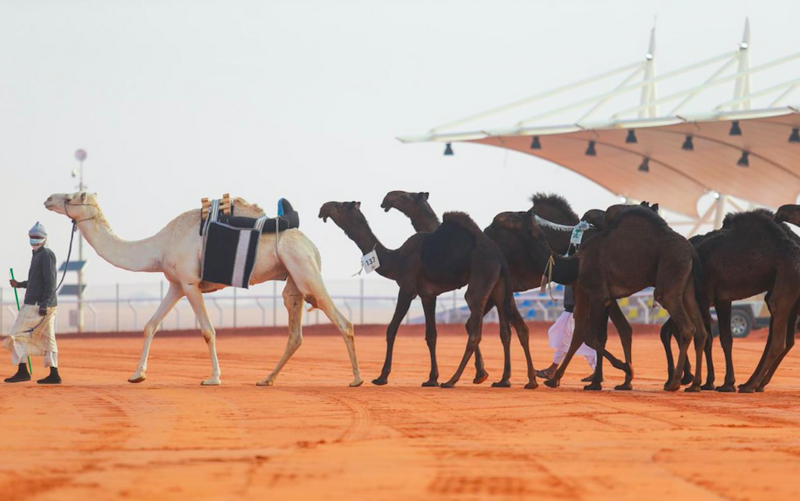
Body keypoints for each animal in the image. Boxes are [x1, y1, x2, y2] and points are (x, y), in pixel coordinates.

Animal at [45, 191, 364, 386]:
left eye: (71, 197)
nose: (48, 198)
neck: (160, 245)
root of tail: (313, 247)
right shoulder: (175, 284)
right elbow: (150, 325)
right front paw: (137, 374)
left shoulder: (190, 282)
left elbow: (208, 331)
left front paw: (213, 377)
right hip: (293, 280)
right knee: (295, 333)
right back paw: (266, 379)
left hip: (304, 269)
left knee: (342, 320)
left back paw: (357, 379)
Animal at [320, 201, 536, 388]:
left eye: (339, 205)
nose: (323, 208)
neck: (395, 259)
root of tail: (499, 256)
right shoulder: (428, 295)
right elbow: (431, 335)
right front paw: (432, 378)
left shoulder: (407, 289)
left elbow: (391, 329)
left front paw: (382, 377)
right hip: (499, 285)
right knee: (507, 329)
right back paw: (512, 380)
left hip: (480, 279)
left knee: (475, 330)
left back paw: (452, 380)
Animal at [496, 206, 708, 390]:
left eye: (514, 217)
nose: (498, 216)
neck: (575, 263)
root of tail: (692, 250)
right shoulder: (585, 293)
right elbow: (579, 335)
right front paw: (557, 379)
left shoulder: (599, 294)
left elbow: (590, 336)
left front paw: (626, 369)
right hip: (687, 287)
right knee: (701, 331)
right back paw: (695, 384)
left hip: (670, 276)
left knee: (686, 327)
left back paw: (674, 383)